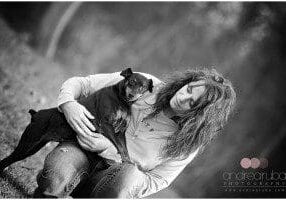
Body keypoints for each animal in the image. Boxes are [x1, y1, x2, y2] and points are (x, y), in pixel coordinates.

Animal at [0, 68, 153, 172]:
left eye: (142, 87)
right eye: (131, 82)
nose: (132, 95)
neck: (122, 101)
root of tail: (36, 114)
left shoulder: (120, 132)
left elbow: (124, 148)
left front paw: (128, 161)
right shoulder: (104, 124)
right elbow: (119, 146)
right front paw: (122, 160)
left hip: (34, 146)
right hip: (29, 141)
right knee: (10, 157)